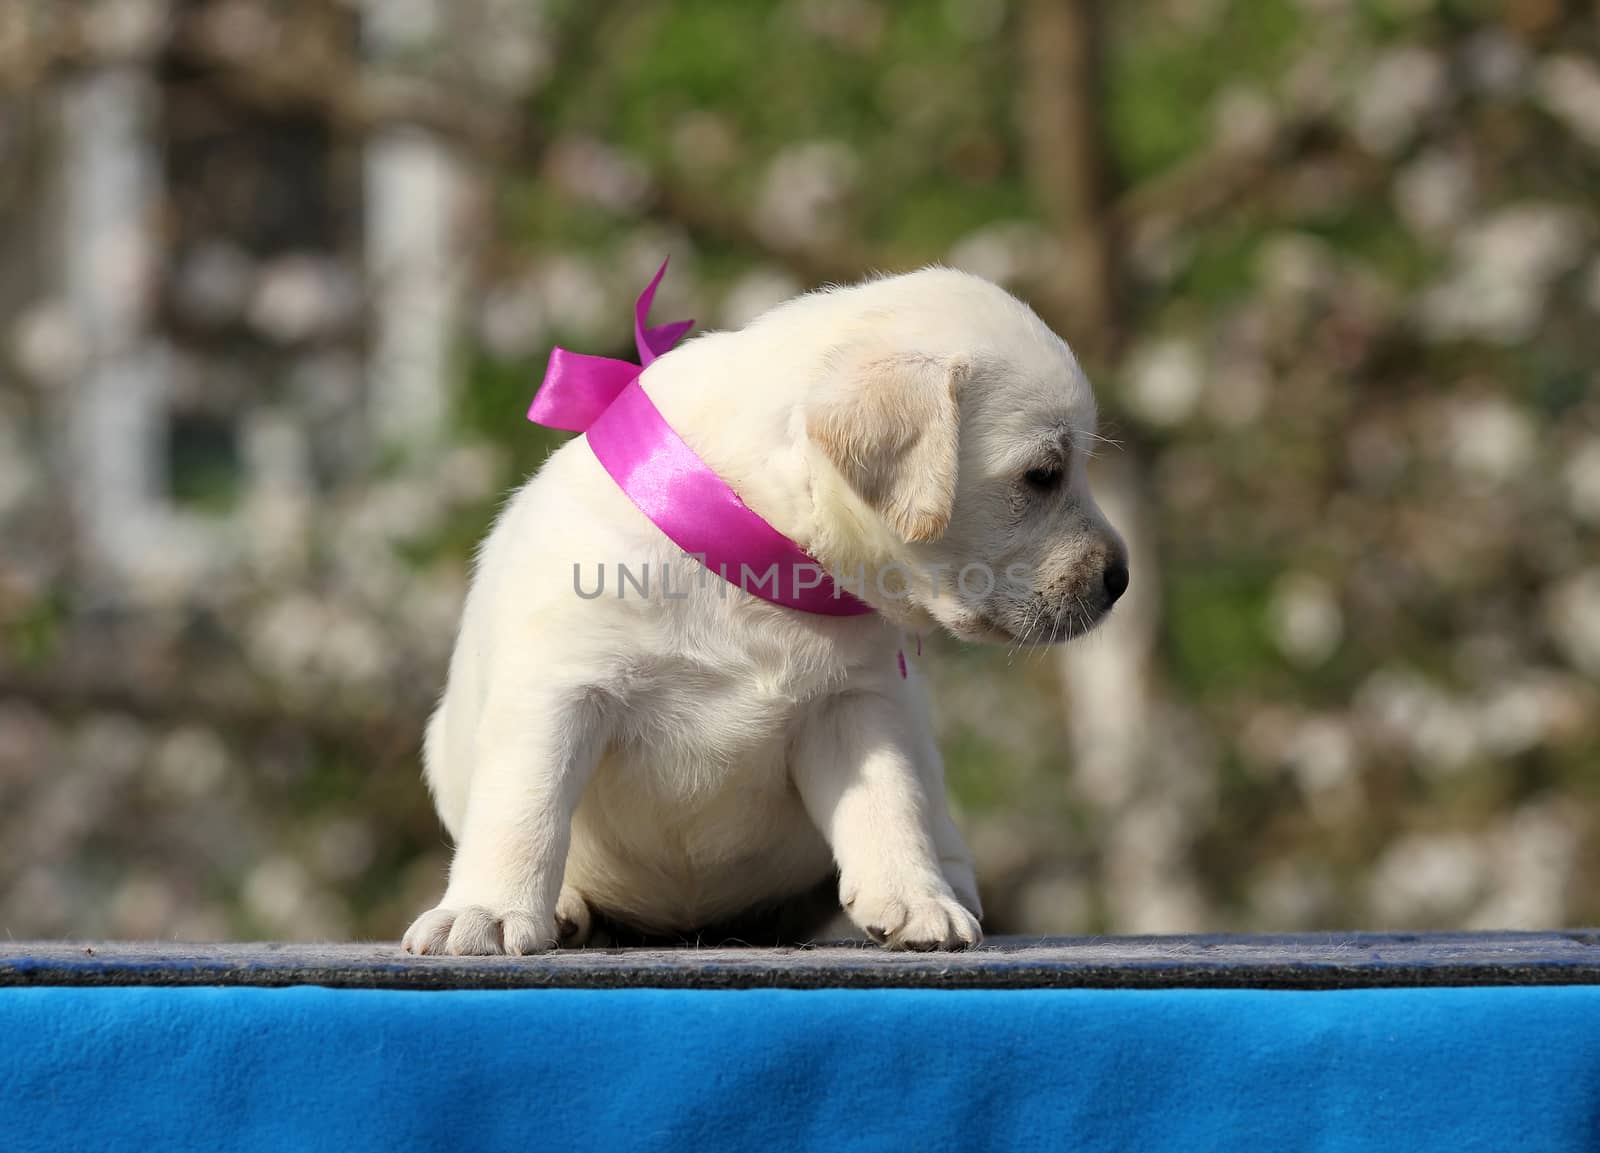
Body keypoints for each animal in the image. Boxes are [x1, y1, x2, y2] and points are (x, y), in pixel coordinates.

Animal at [403, 267, 1126, 953]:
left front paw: (914, 897)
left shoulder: (854, 708)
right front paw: (487, 912)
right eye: (1041, 475)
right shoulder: (559, 690)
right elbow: (524, 811)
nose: (1120, 579)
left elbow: (889, 805)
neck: (750, 558)